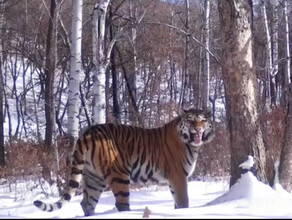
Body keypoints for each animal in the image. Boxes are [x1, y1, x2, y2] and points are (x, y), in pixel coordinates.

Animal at [33, 108, 214, 217]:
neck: (190, 143)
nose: (198, 129)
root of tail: (87, 132)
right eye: (190, 120)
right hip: (119, 175)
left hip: (93, 178)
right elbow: (183, 202)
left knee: (86, 203)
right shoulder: (178, 177)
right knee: (121, 204)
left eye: (203, 120)